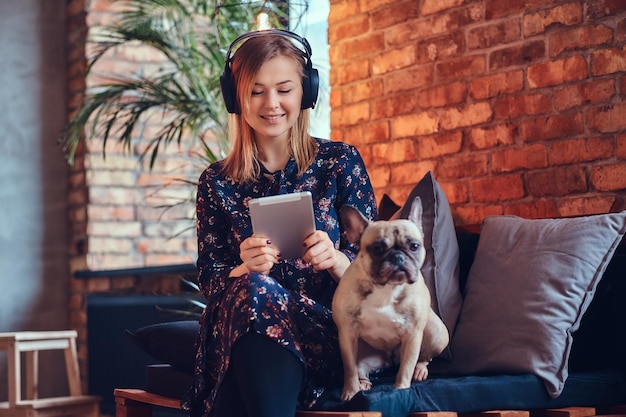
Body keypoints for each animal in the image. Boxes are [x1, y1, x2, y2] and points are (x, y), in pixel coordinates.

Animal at [334, 200, 446, 402]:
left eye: (414, 246)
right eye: (377, 249)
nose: (398, 257)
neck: (386, 287)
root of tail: (390, 360)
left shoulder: (412, 335)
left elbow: (405, 370)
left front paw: (400, 390)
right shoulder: (346, 334)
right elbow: (350, 369)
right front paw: (351, 392)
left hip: (438, 333)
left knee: (423, 358)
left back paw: (420, 370)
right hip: (363, 354)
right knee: (360, 369)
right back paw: (363, 383)